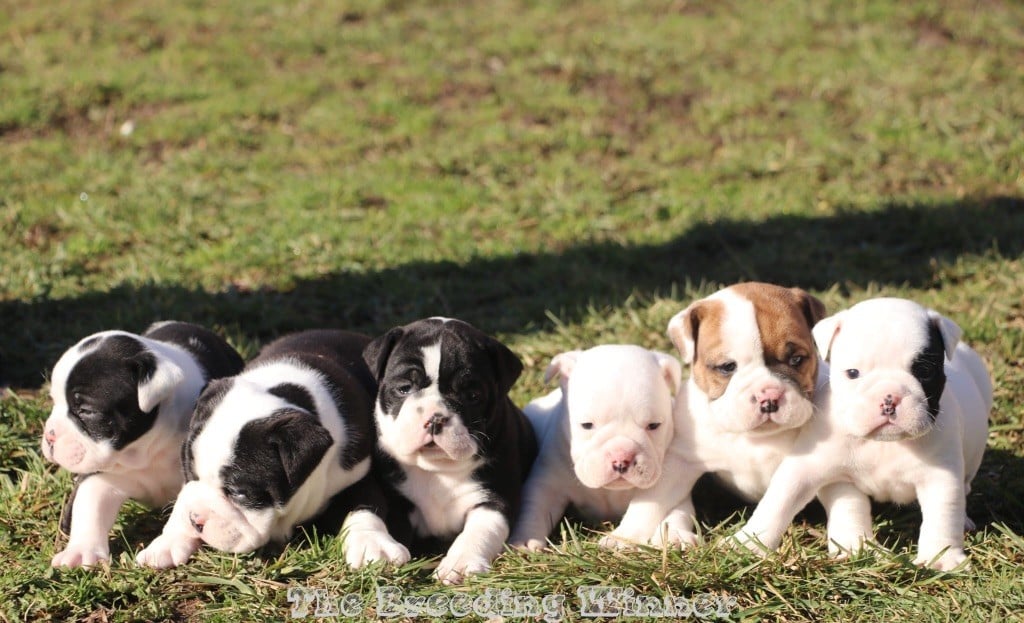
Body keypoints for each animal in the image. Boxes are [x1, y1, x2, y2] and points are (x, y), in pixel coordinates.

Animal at [40, 323, 244, 565]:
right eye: (54, 401)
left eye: (87, 411)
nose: (50, 436)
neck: (144, 450)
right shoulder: (100, 475)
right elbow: (90, 507)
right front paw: (80, 551)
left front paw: (166, 545)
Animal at [135, 331, 407, 569]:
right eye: (189, 473)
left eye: (239, 493)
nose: (196, 519)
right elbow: (185, 498)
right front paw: (168, 541)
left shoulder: (358, 472)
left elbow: (365, 504)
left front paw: (372, 544)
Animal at [362, 315, 536, 582]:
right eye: (404, 388)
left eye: (473, 395)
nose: (435, 418)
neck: (437, 468)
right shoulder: (396, 502)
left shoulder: (494, 500)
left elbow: (479, 532)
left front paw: (461, 564)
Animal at [507, 342, 684, 553]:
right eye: (586, 425)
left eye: (654, 425)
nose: (621, 457)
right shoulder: (546, 483)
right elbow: (534, 508)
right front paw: (524, 539)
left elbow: (674, 509)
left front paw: (674, 536)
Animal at [733, 299, 995, 573]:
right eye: (852, 373)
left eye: (923, 370)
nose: (889, 397)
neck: (882, 443)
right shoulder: (809, 466)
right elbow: (781, 499)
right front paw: (749, 542)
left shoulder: (940, 476)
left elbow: (943, 515)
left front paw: (942, 558)